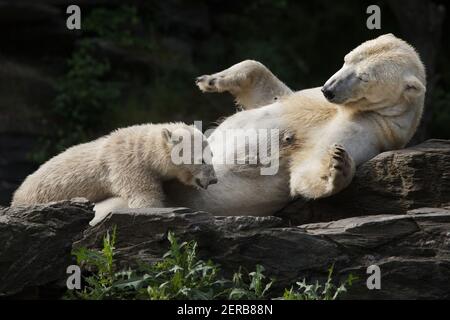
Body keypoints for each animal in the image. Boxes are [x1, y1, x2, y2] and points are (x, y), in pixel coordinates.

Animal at [95, 34, 426, 220]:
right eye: (346, 60)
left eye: (365, 77)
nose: (329, 89)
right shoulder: (304, 97)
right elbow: (269, 90)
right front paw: (211, 79)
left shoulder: (368, 127)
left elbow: (303, 172)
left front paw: (337, 166)